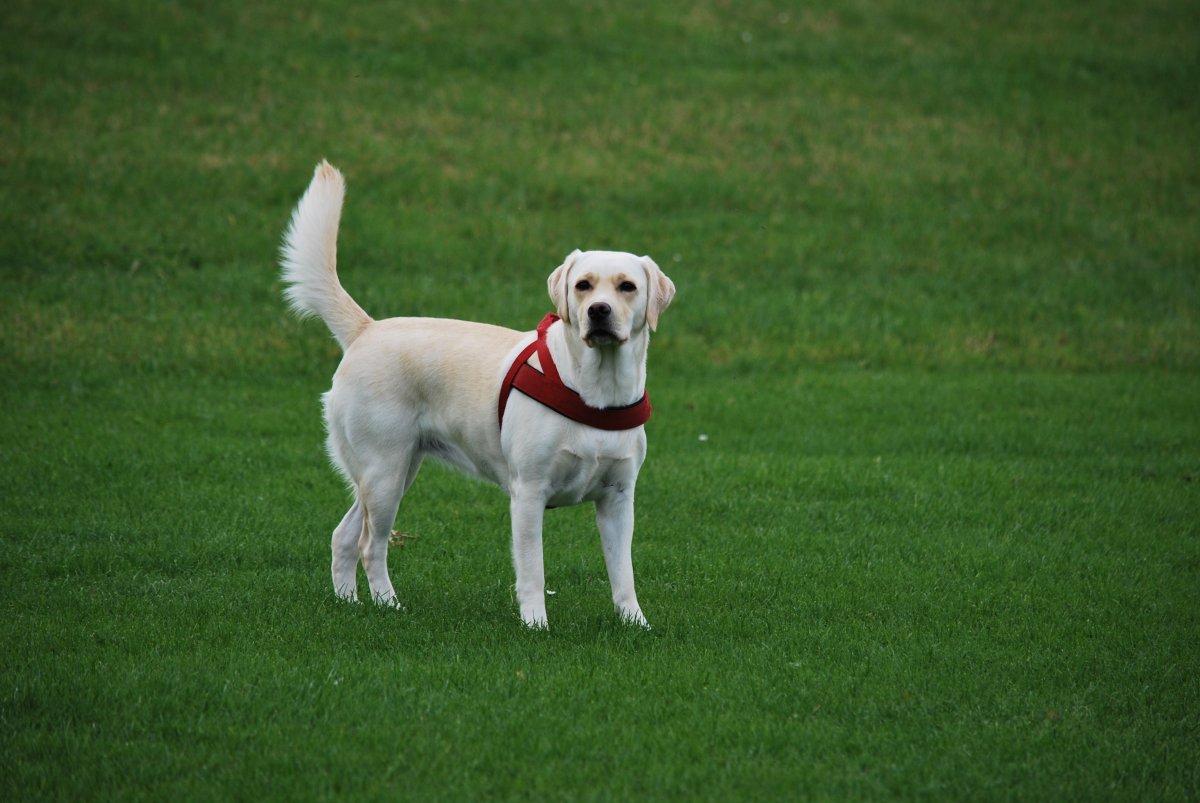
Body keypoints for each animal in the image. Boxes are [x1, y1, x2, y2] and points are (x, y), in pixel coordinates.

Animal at [280, 160, 676, 624]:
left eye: (627, 287)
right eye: (583, 285)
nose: (598, 311)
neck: (596, 391)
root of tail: (367, 328)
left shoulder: (618, 498)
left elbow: (622, 572)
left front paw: (635, 623)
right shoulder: (529, 493)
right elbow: (533, 570)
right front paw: (535, 624)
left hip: (391, 471)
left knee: (343, 535)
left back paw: (350, 603)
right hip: (384, 473)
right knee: (369, 545)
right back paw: (389, 605)